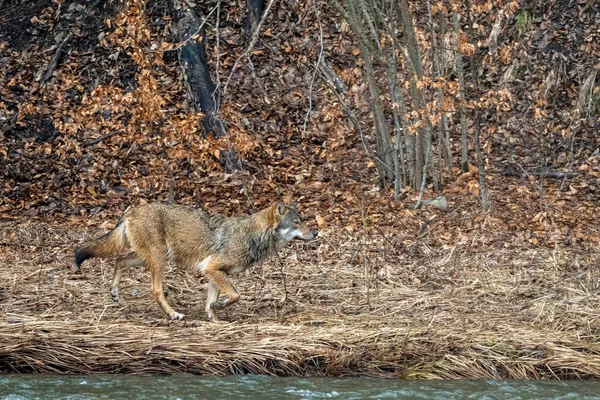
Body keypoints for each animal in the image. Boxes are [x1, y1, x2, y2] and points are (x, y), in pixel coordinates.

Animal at [74, 197, 318, 322]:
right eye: (297, 222)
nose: (316, 232)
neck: (252, 235)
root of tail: (131, 211)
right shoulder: (212, 269)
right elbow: (235, 295)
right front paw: (217, 307)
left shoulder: (214, 272)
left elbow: (214, 301)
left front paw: (214, 319)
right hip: (159, 260)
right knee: (155, 290)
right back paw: (173, 314)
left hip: (148, 258)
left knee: (119, 260)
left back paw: (114, 292)